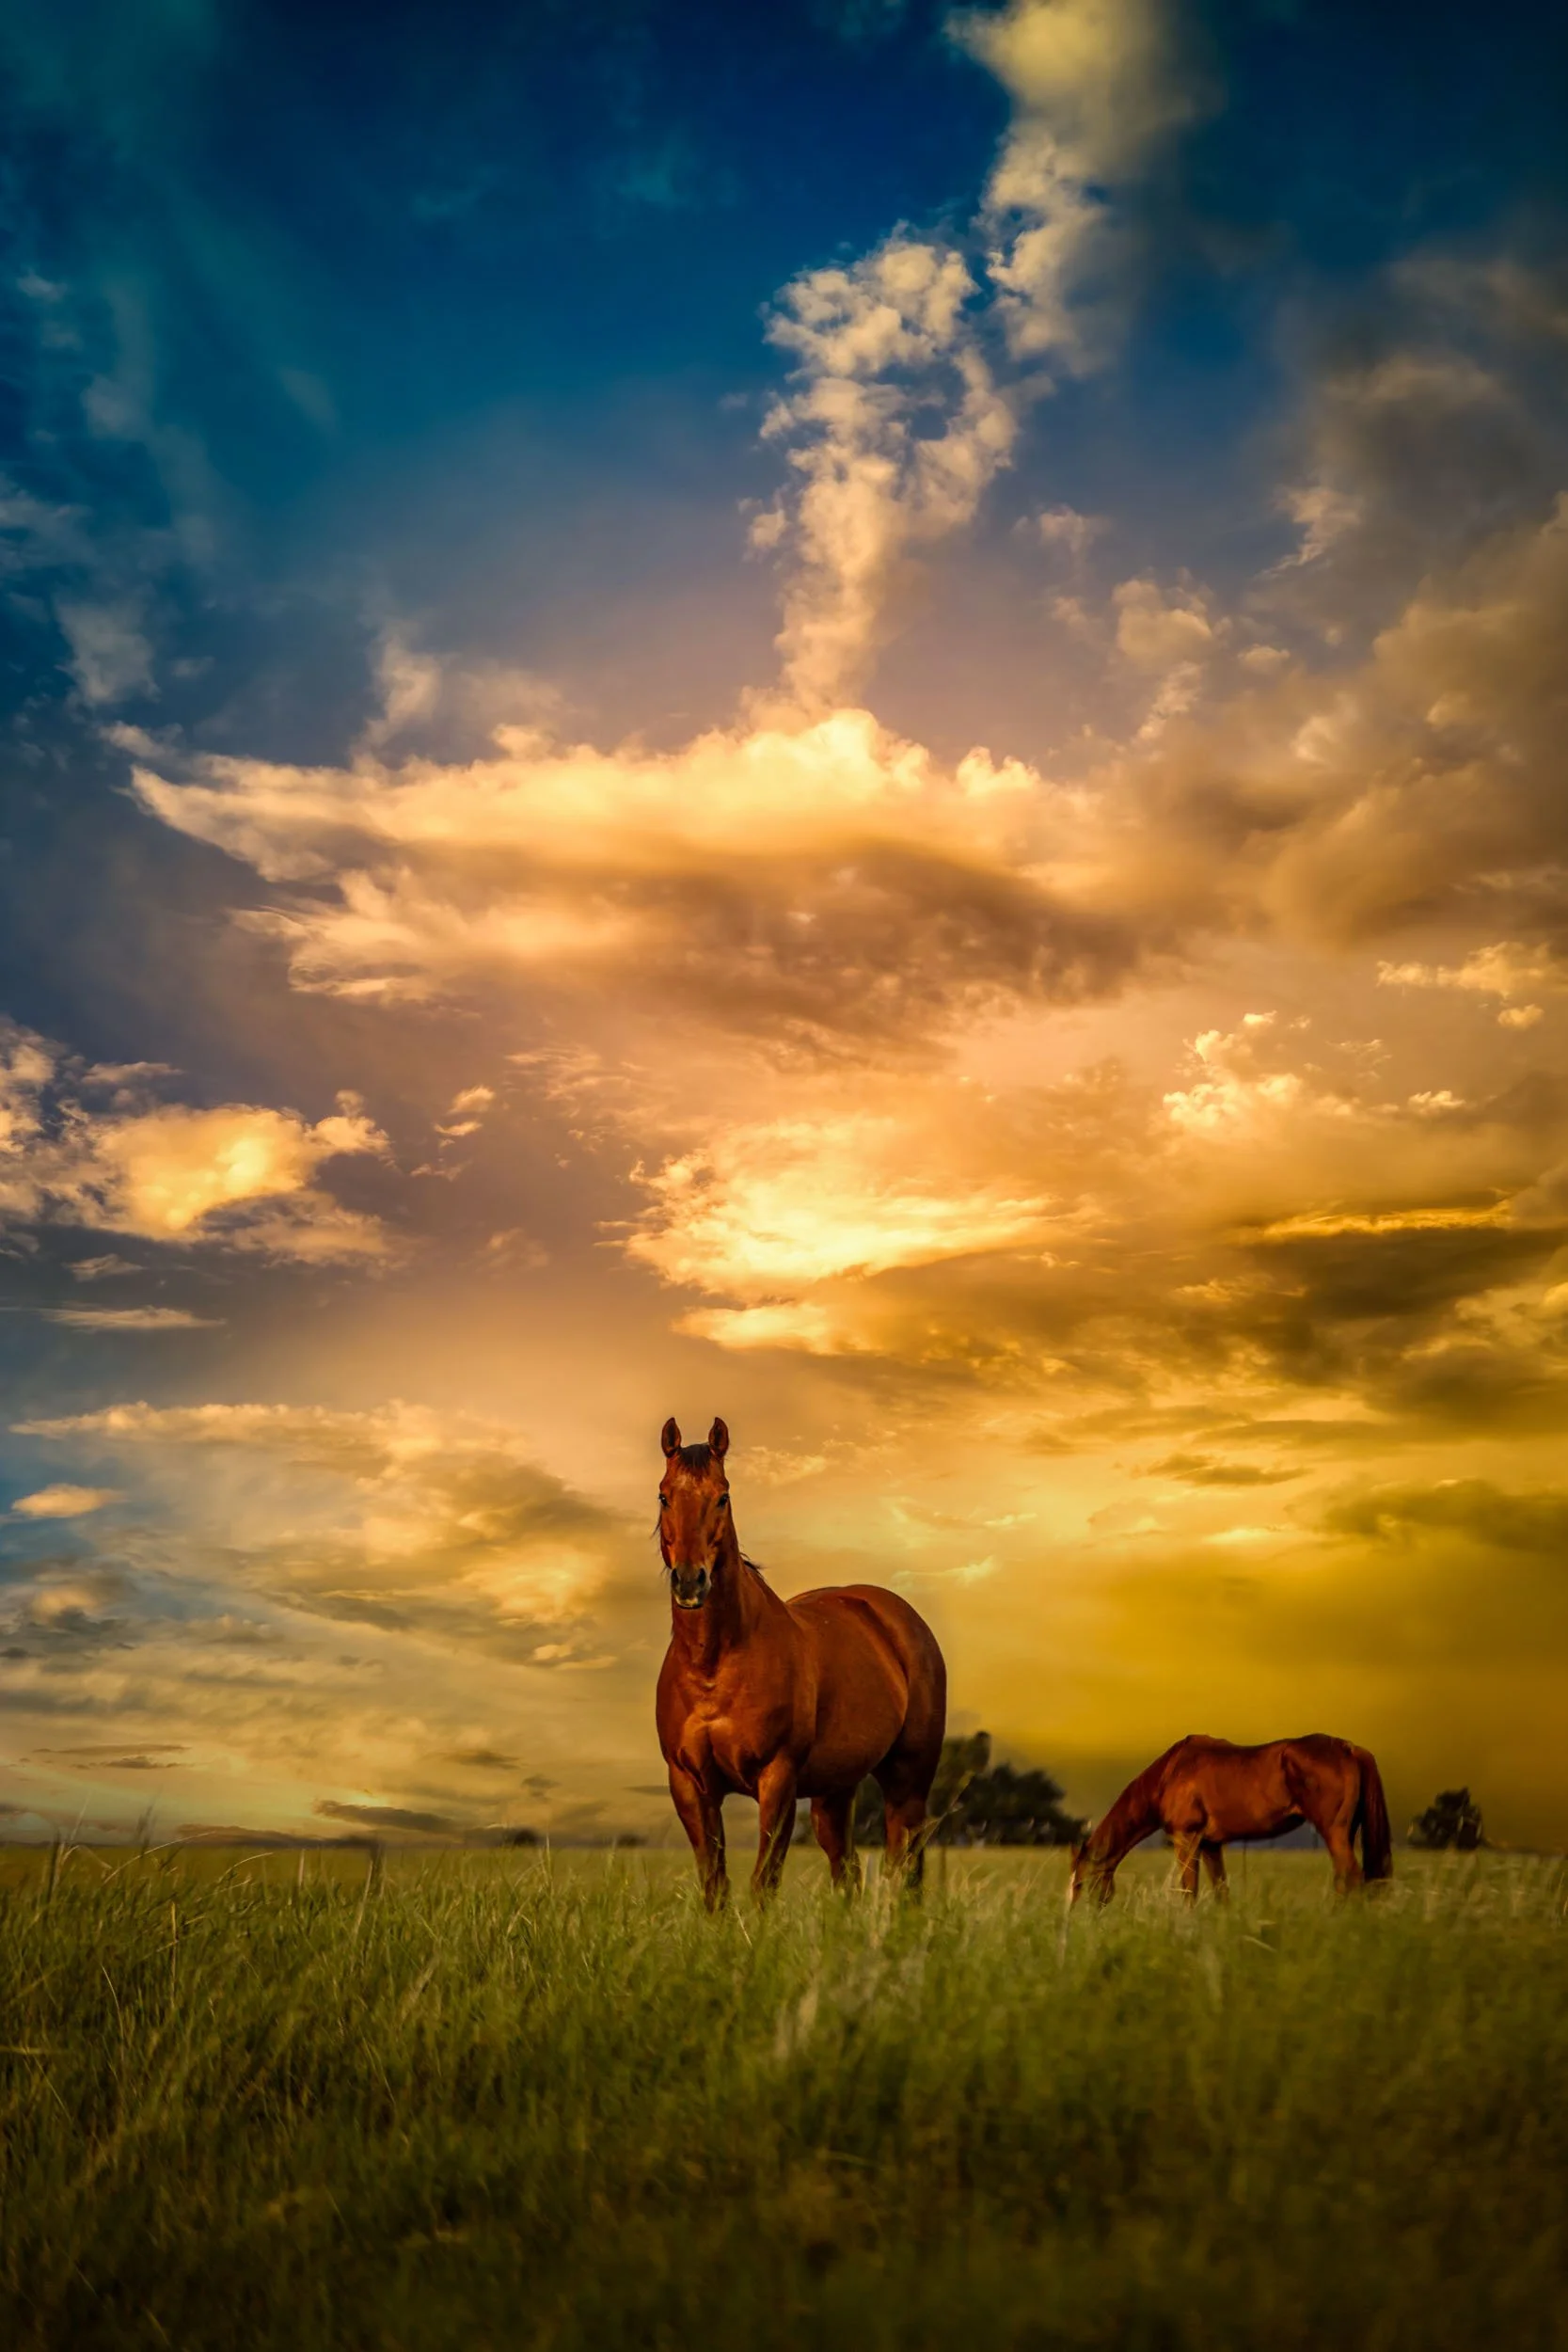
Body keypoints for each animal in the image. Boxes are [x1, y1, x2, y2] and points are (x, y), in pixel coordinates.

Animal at [654, 1416, 947, 1909]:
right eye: (663, 1496)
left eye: (723, 1496)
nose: (691, 1582)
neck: (714, 1663)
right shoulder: (690, 1785)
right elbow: (715, 1886)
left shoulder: (778, 1778)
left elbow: (763, 1883)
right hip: (835, 1790)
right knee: (847, 1870)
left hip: (907, 1781)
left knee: (903, 1866)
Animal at [1067, 1732, 1392, 1904]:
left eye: (1080, 1883)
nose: (1078, 1922)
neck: (1170, 1773)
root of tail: (1348, 1748)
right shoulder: (1211, 1846)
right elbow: (1221, 1892)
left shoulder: (1186, 1840)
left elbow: (1189, 1892)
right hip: (1345, 1833)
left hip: (1333, 1832)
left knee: (1350, 1877)